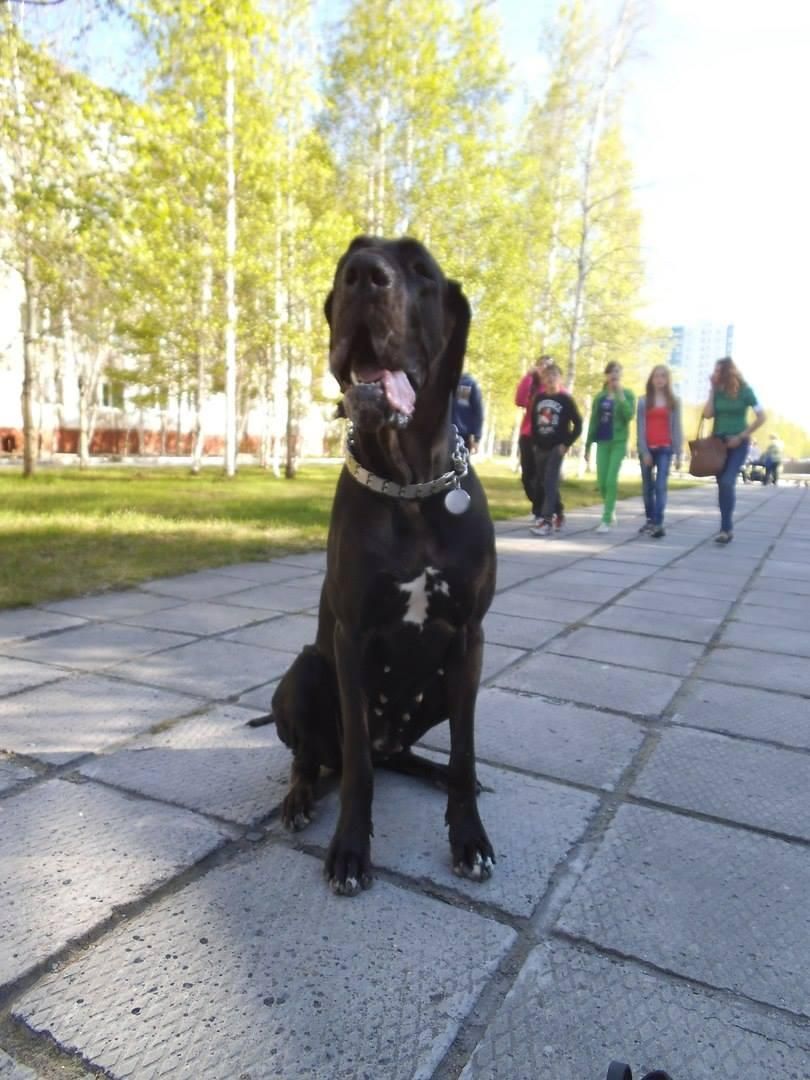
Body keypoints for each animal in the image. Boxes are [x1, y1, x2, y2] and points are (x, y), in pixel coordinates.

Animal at [256, 236, 496, 896]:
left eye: (420, 270)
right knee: (317, 757)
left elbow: (466, 748)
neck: (409, 487)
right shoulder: (351, 638)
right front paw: (349, 852)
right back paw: (299, 799)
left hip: (441, 684)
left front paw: (469, 838)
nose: (365, 277)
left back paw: (432, 772)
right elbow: (359, 768)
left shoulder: (470, 638)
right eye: (348, 261)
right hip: (306, 672)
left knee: (405, 756)